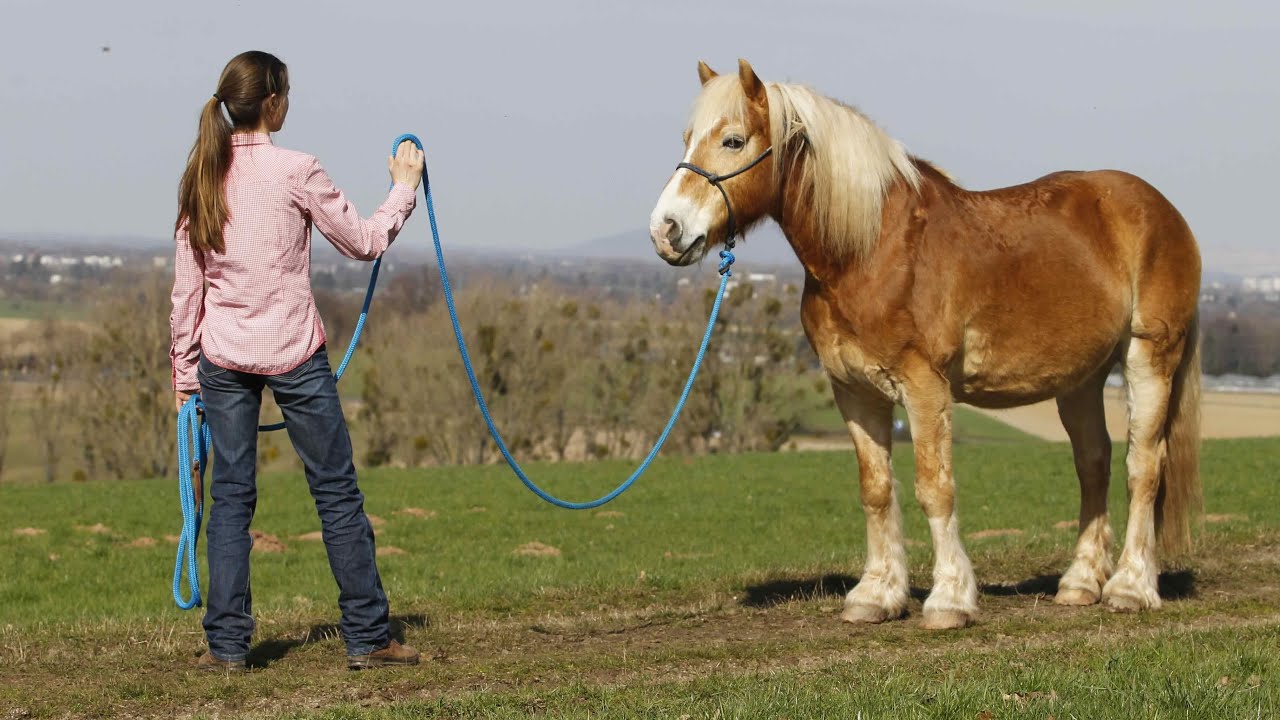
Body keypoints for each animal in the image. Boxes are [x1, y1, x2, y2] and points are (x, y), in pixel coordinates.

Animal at [648, 59, 1201, 630]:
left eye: (733, 140)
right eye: (689, 138)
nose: (665, 230)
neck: (873, 250)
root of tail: (1161, 210)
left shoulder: (924, 388)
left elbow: (935, 488)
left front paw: (949, 599)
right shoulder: (854, 391)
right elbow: (876, 489)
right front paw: (876, 594)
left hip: (1149, 358)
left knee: (1143, 466)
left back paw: (1131, 587)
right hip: (1081, 380)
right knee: (1094, 462)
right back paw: (1080, 583)